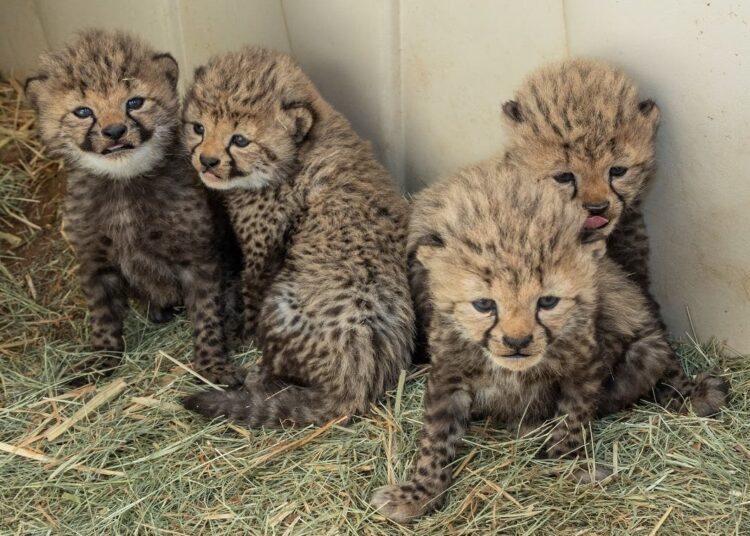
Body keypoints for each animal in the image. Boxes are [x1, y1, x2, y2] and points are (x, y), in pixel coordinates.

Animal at [24, 29, 242, 385]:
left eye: (134, 102)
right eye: (83, 112)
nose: (114, 131)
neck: (122, 184)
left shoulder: (198, 259)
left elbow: (207, 316)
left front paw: (212, 366)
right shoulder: (95, 262)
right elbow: (102, 316)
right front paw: (100, 360)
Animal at [181, 47, 414, 426]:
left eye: (240, 139)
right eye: (198, 128)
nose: (207, 162)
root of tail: (357, 383)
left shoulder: (262, 252)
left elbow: (251, 291)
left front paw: (242, 333)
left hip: (282, 305)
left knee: (273, 368)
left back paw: (252, 376)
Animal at [371, 159, 727, 523]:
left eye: (548, 302)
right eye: (484, 304)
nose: (517, 341)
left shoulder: (585, 366)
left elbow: (574, 419)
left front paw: (569, 462)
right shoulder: (448, 374)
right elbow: (436, 439)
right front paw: (419, 492)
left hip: (647, 350)